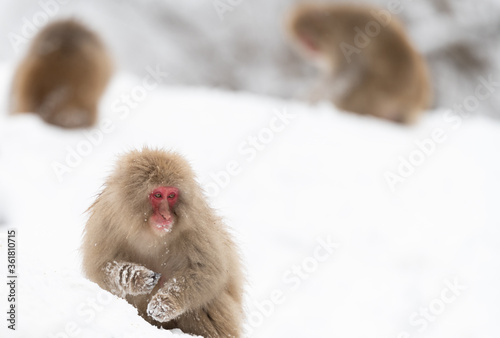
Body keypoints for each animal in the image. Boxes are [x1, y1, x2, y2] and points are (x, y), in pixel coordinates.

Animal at [82, 149, 244, 336]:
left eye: (171, 196)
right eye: (158, 195)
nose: (166, 216)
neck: (149, 232)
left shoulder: (196, 223)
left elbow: (207, 270)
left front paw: (165, 302)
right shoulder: (106, 218)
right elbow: (99, 269)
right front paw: (136, 277)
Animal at [288, 2, 432, 124]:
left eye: (307, 38)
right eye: (302, 40)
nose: (309, 50)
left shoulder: (348, 38)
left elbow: (344, 74)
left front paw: (308, 100)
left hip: (378, 95)